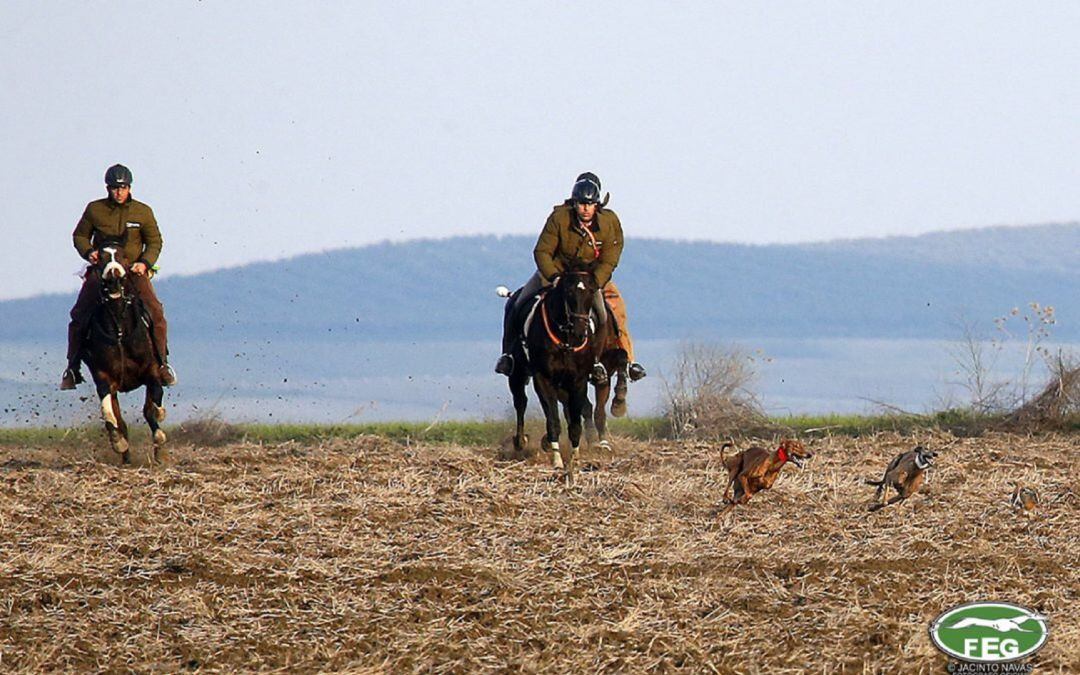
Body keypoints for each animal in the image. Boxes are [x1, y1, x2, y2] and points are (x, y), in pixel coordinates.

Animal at [79, 240, 169, 462]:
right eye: (100, 258)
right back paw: (126, 456)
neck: (120, 327)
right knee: (119, 419)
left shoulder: (151, 370)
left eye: (123, 256)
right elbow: (109, 414)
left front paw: (160, 424)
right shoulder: (103, 376)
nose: (113, 276)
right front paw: (117, 441)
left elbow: (154, 401)